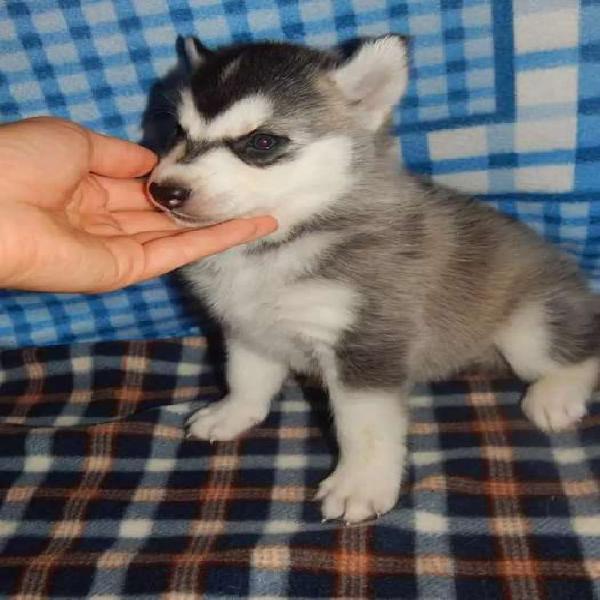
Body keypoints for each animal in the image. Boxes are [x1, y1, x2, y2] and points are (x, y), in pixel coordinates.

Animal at [146, 37, 600, 524]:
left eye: (262, 141)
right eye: (178, 131)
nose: (164, 191)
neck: (280, 243)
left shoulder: (366, 343)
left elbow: (363, 426)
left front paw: (360, 484)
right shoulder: (246, 327)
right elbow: (246, 377)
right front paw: (233, 413)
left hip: (529, 328)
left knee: (579, 353)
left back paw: (554, 396)